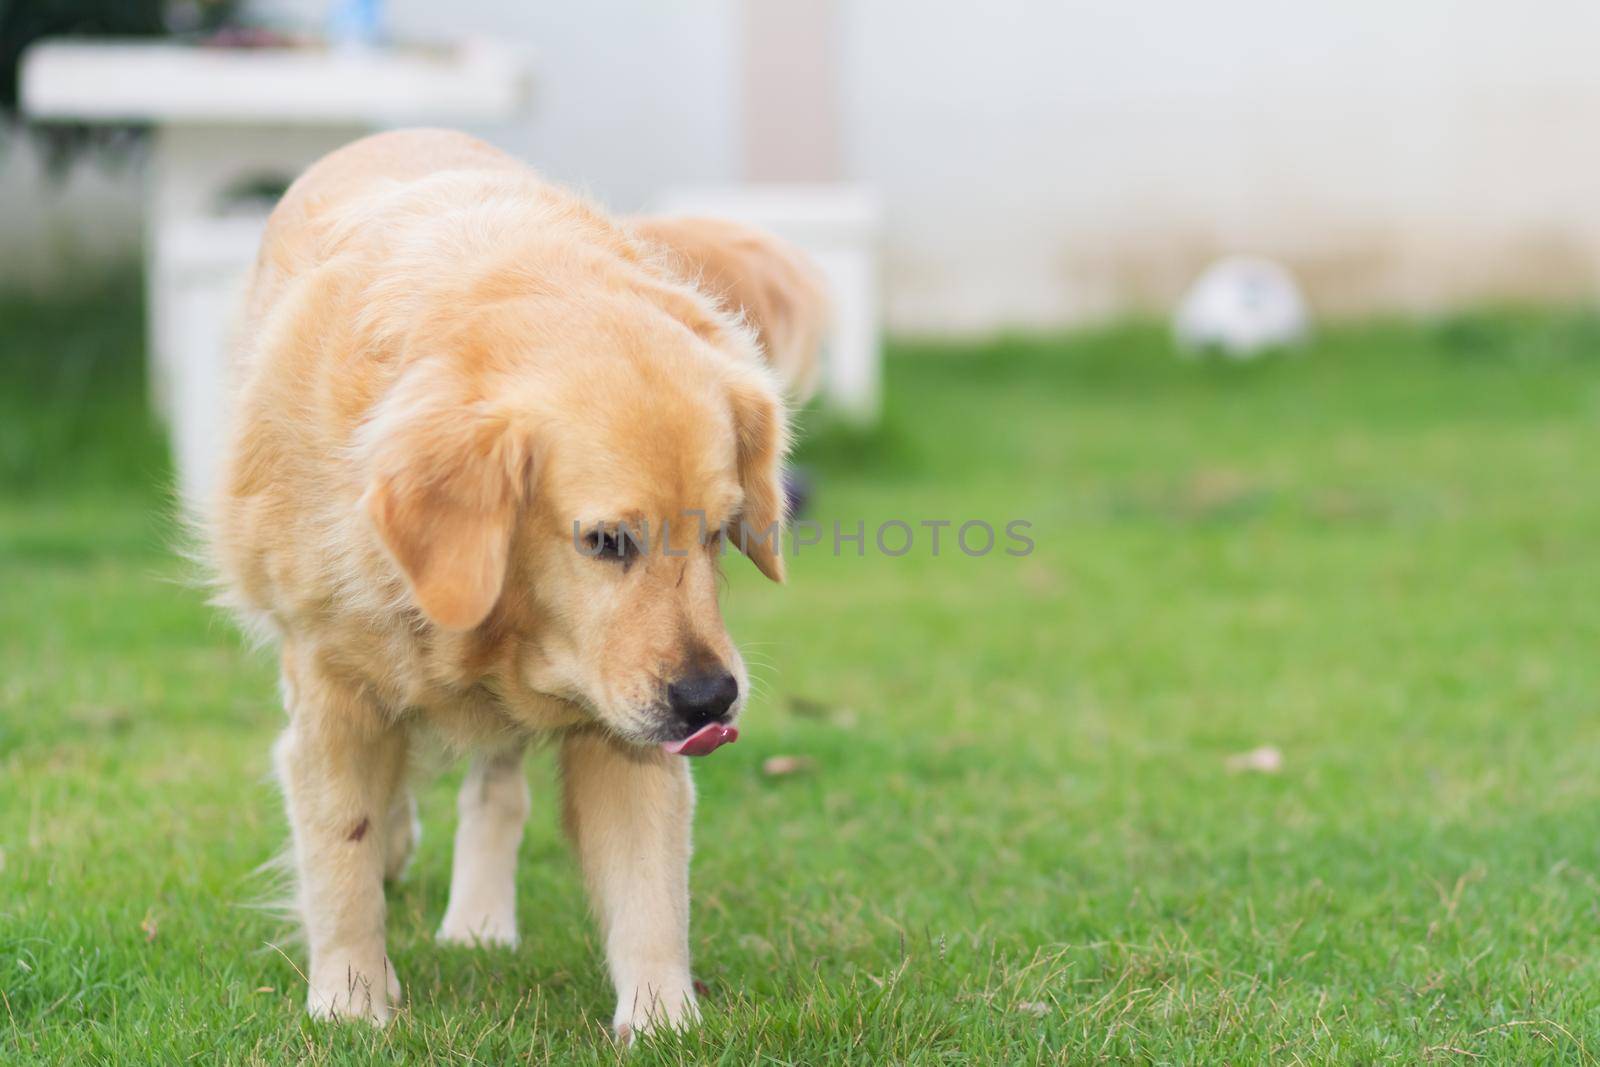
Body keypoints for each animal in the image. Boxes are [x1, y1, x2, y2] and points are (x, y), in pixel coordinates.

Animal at [209, 129, 825, 1036]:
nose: (709, 699)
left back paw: (479, 919)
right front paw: (351, 999)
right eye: (606, 541)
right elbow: (341, 843)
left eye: (718, 532)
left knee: (494, 790)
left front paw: (662, 1017)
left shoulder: (622, 726)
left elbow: (648, 884)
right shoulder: (331, 684)